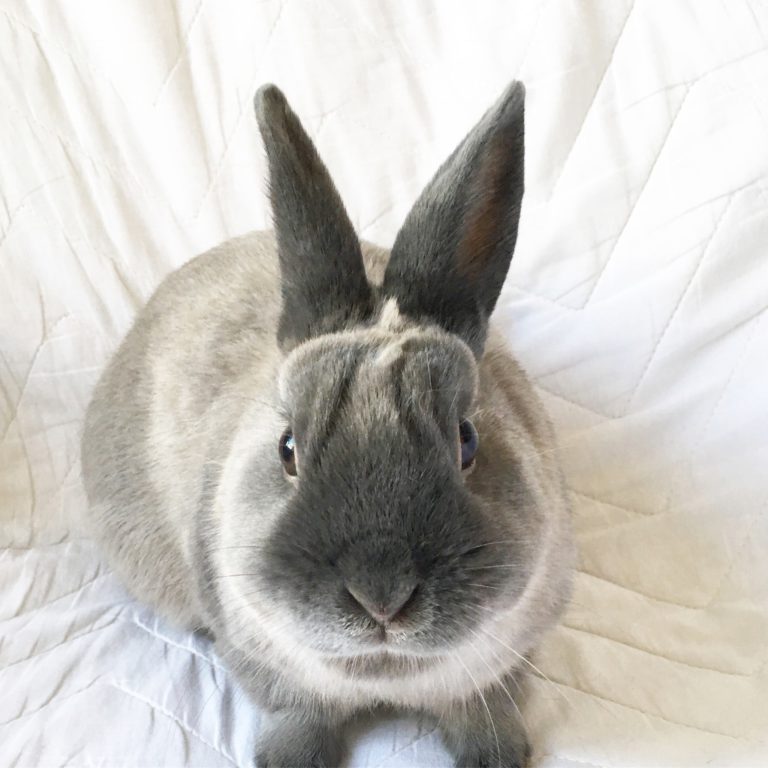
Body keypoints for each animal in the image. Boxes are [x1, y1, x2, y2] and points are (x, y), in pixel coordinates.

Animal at [81, 81, 574, 768]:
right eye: (287, 448)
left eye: (467, 439)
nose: (381, 592)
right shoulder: (266, 666)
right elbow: (299, 714)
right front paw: (287, 760)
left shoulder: (507, 662)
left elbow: (487, 709)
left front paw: (497, 757)